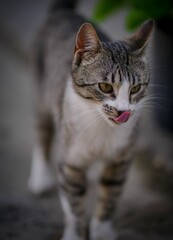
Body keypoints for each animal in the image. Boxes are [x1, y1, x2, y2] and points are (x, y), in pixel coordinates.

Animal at [28, 0, 154, 239]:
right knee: (42, 129)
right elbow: (73, 203)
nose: (123, 111)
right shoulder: (70, 161)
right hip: (43, 91)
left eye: (135, 89)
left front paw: (102, 231)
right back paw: (40, 176)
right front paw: (75, 233)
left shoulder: (121, 157)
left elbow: (110, 195)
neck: (100, 126)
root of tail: (62, 11)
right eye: (105, 86)